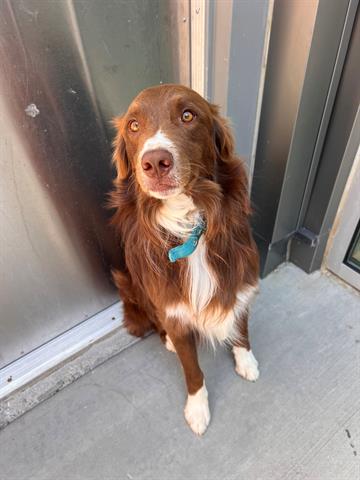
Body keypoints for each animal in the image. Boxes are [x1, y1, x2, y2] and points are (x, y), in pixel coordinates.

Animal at [109, 83, 258, 436]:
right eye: (134, 126)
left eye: (188, 115)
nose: (155, 162)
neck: (191, 226)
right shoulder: (174, 310)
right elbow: (192, 370)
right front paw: (197, 409)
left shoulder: (240, 280)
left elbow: (241, 326)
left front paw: (246, 361)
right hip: (130, 283)